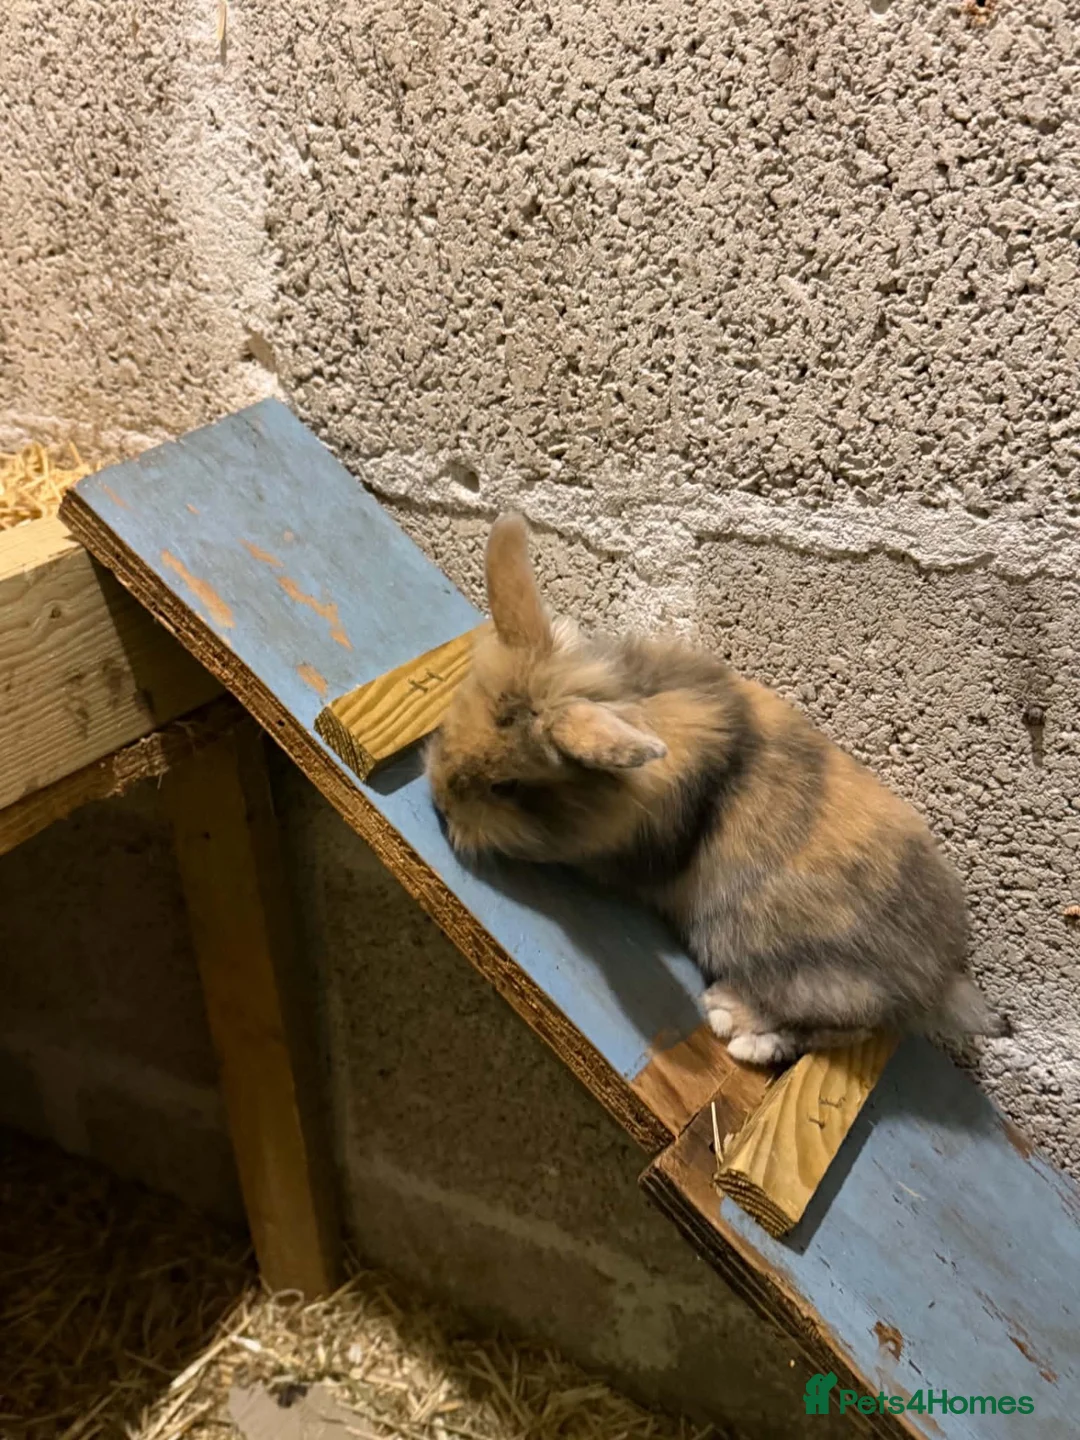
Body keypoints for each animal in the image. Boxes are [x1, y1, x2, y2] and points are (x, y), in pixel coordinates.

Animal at [425, 512, 1006, 1064]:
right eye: (457, 711)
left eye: (505, 787)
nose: (440, 802)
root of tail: (940, 982)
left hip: (795, 968)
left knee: (848, 1027)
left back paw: (738, 1022)